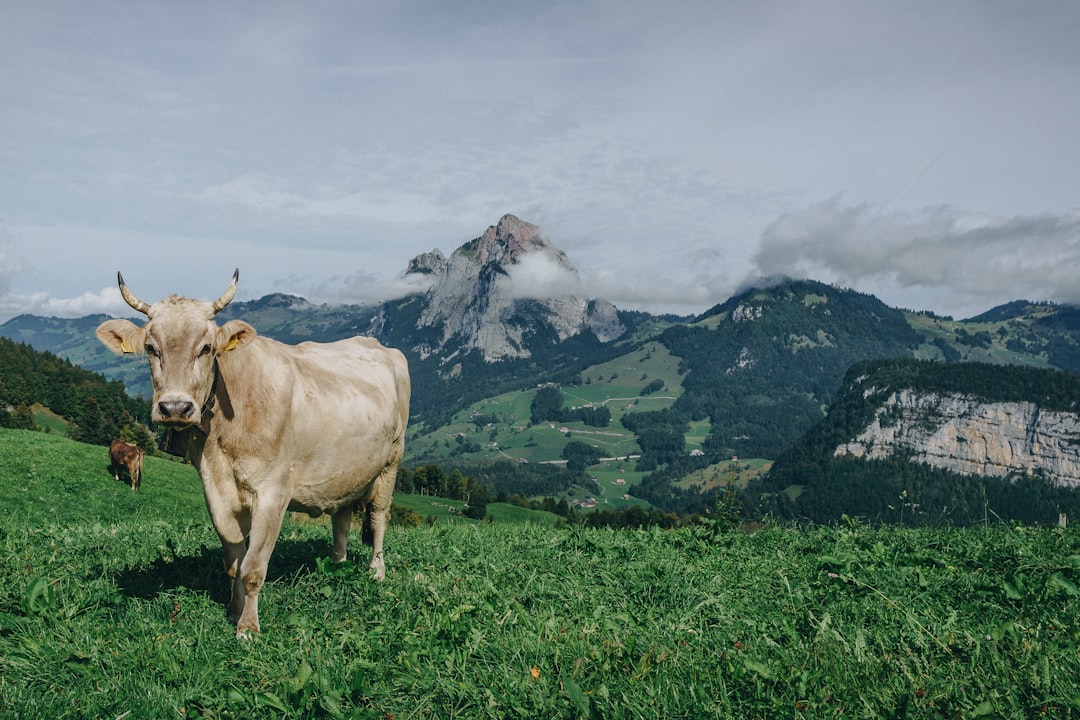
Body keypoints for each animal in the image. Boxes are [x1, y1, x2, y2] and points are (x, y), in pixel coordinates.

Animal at [95, 269, 408, 634]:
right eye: (150, 347)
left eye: (206, 348)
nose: (175, 408)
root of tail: (379, 346)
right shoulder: (215, 490)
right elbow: (234, 562)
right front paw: (234, 610)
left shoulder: (274, 491)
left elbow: (254, 567)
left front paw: (248, 627)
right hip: (346, 471)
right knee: (341, 518)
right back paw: (337, 564)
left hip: (391, 463)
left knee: (379, 516)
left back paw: (376, 572)